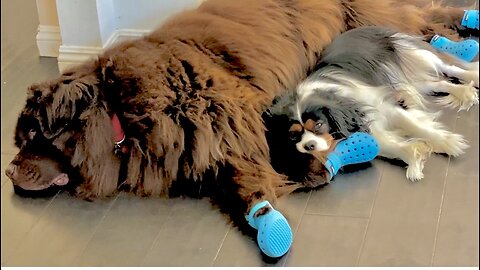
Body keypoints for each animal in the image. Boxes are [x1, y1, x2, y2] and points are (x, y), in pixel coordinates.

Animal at [264, 25, 478, 186]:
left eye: (318, 125)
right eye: (292, 136)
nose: (309, 145)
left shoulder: (384, 106)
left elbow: (415, 126)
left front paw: (448, 143)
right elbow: (387, 144)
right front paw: (414, 156)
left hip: (415, 54)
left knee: (450, 67)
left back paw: (473, 76)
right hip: (408, 80)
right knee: (438, 83)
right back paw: (463, 92)